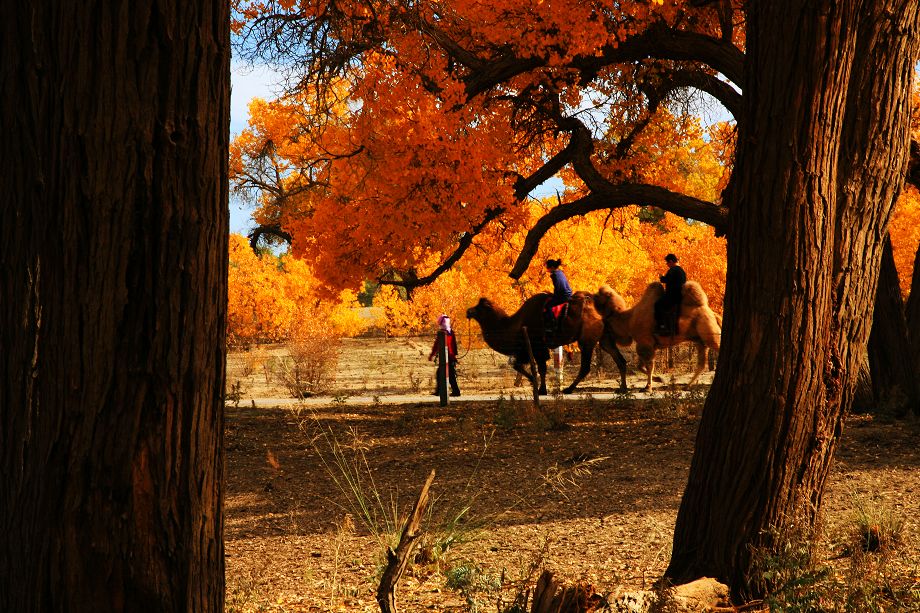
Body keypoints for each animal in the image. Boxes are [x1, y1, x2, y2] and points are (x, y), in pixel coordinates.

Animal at [468, 290, 612, 394]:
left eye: (480, 307)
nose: (468, 311)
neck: (514, 325)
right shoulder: (526, 349)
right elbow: (518, 365)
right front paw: (536, 383)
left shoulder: (537, 346)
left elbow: (540, 368)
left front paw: (540, 389)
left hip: (586, 340)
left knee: (585, 367)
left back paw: (568, 389)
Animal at [592, 280, 724, 390]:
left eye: (598, 295)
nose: (590, 295)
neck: (628, 321)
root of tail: (714, 314)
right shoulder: (648, 344)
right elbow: (640, 366)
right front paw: (659, 379)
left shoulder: (645, 342)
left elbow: (649, 365)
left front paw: (648, 387)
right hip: (700, 340)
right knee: (701, 364)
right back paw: (687, 386)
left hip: (709, 335)